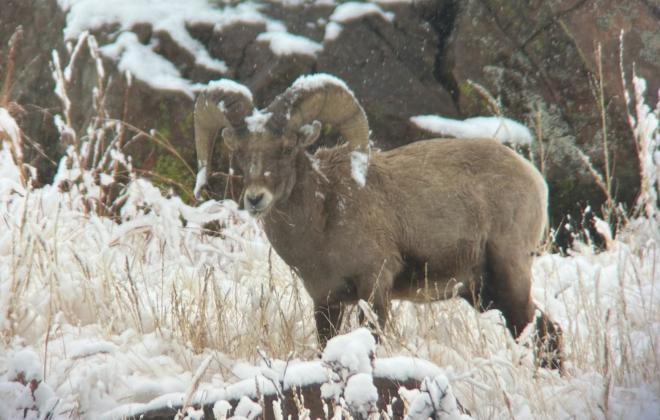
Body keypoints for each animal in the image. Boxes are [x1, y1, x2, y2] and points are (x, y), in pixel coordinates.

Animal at [195, 74, 564, 370]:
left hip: (508, 275)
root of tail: (534, 178)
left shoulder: (374, 287)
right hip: (481, 292)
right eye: (239, 153)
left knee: (539, 330)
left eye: (286, 148)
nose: (255, 199)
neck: (323, 221)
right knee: (545, 331)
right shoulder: (325, 301)